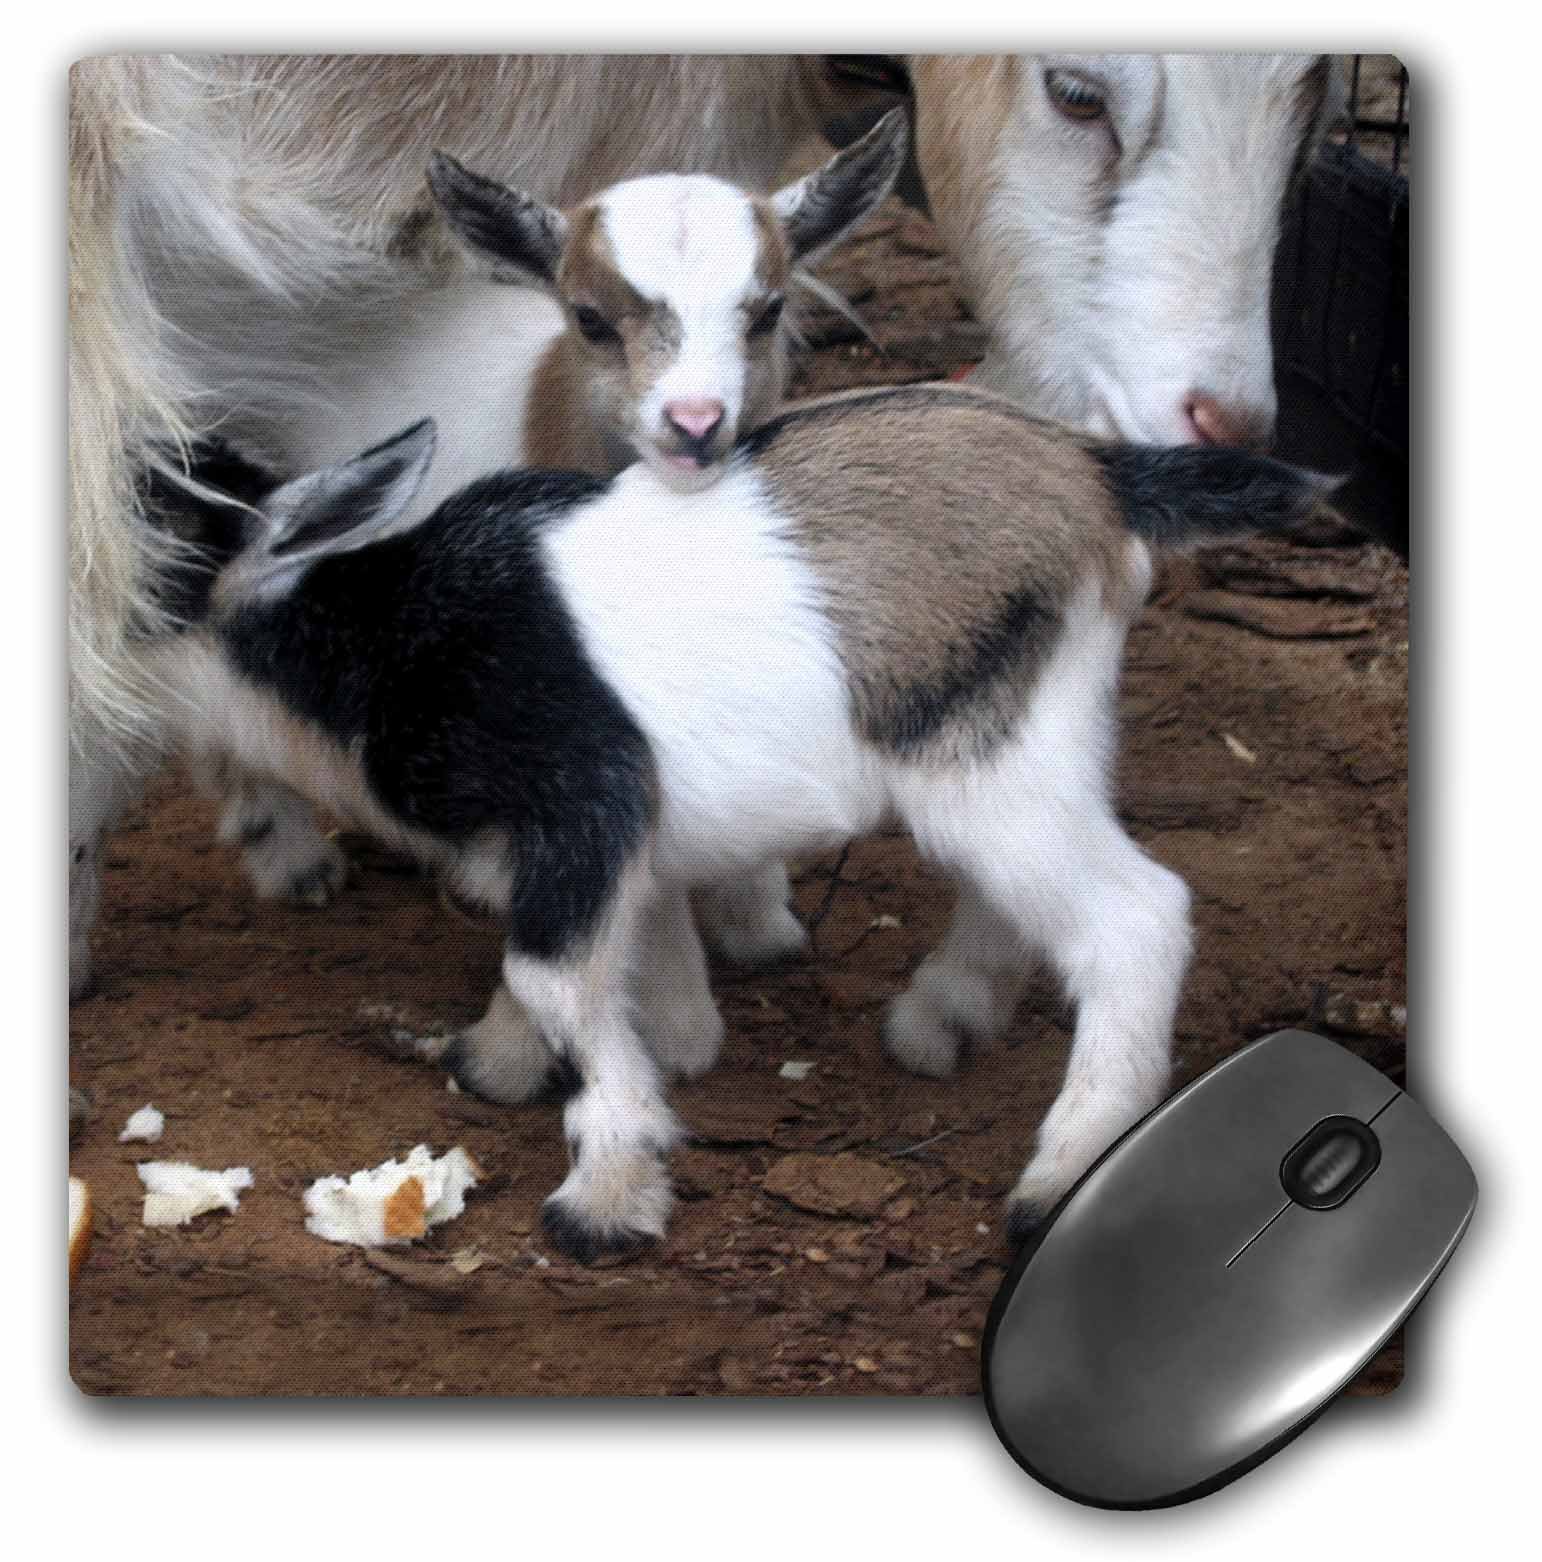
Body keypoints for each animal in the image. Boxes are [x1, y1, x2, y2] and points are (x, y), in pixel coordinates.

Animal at [143, 388, 1336, 1262]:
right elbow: (633, 976)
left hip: (984, 764)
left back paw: (1062, 1172)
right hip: (1021, 742)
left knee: (1135, 917)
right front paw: (517, 1060)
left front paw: (606, 1192)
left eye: (150, 542)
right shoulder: (612, 845)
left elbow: (550, 972)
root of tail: (1101, 473)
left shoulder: (584, 793)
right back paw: (943, 1019)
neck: (379, 639)